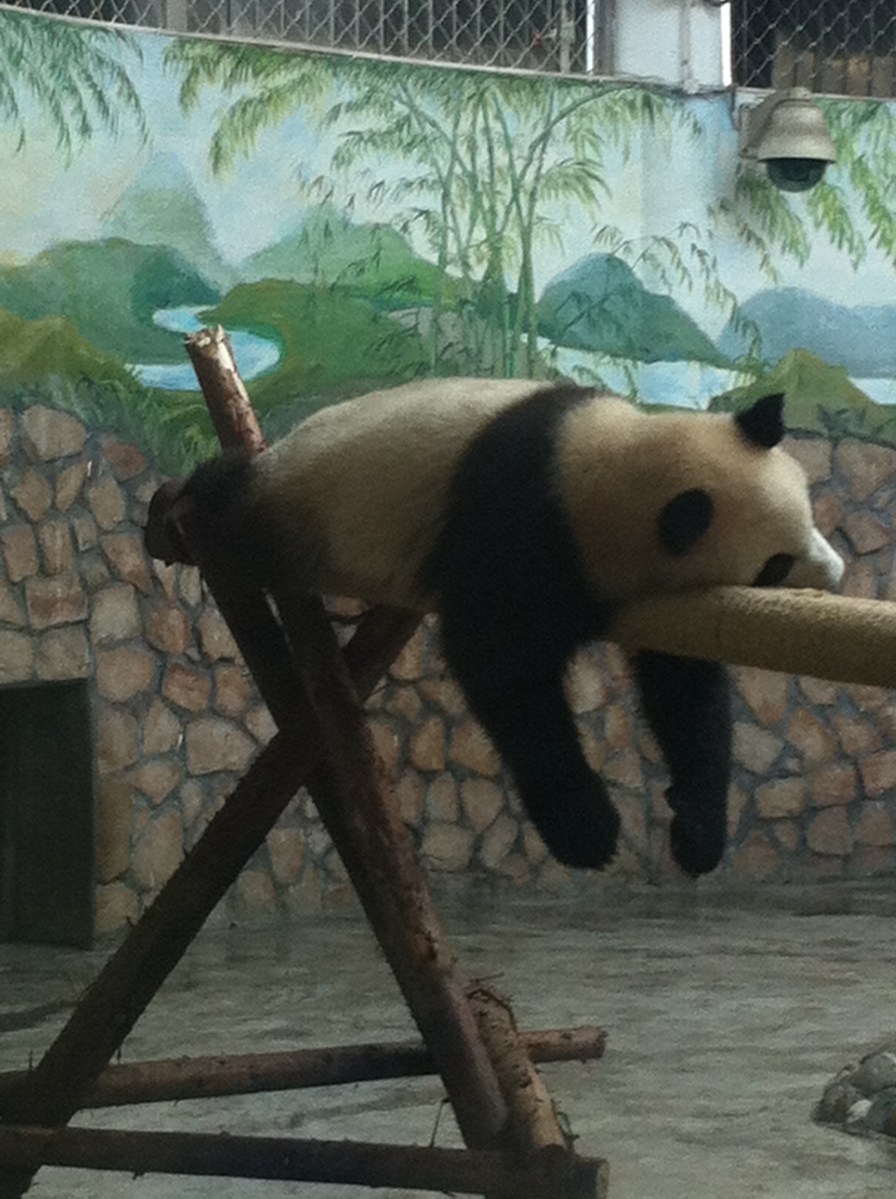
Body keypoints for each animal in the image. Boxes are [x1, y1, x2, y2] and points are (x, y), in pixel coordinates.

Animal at [181, 378, 844, 877]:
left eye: (810, 515)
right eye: (775, 563)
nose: (836, 573)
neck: (596, 464)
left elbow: (682, 692)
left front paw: (698, 830)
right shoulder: (518, 529)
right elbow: (502, 667)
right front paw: (587, 828)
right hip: (298, 501)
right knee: (228, 504)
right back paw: (190, 504)